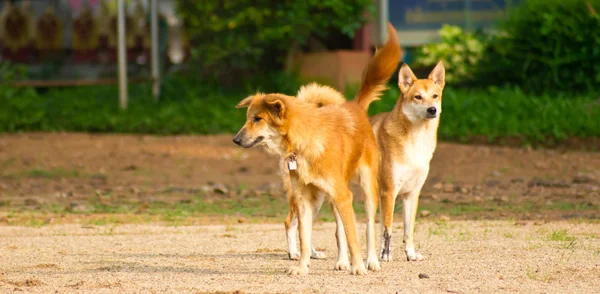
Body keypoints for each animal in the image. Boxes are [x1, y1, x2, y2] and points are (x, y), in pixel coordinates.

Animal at [232, 23, 400, 276]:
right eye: (248, 118)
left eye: (257, 119)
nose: (236, 139)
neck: (304, 145)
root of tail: (355, 107)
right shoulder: (305, 199)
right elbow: (306, 237)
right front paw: (302, 267)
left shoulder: (344, 196)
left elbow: (354, 236)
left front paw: (358, 267)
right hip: (325, 198)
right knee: (338, 230)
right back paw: (341, 261)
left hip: (366, 189)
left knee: (369, 227)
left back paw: (370, 261)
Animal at [370, 61, 446, 262]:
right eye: (417, 97)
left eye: (435, 96)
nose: (432, 110)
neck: (417, 140)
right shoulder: (389, 192)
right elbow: (387, 229)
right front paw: (386, 255)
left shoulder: (411, 194)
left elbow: (408, 230)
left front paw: (410, 254)